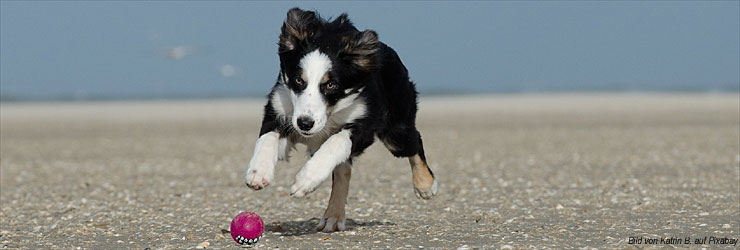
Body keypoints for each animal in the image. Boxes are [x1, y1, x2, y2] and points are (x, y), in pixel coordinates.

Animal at [243, 8, 440, 232]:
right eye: (298, 80)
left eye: (331, 85)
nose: (305, 123)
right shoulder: (279, 109)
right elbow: (267, 137)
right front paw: (258, 172)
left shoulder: (365, 123)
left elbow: (336, 142)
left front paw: (305, 180)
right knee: (343, 170)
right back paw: (333, 216)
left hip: (396, 130)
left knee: (414, 142)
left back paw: (425, 185)